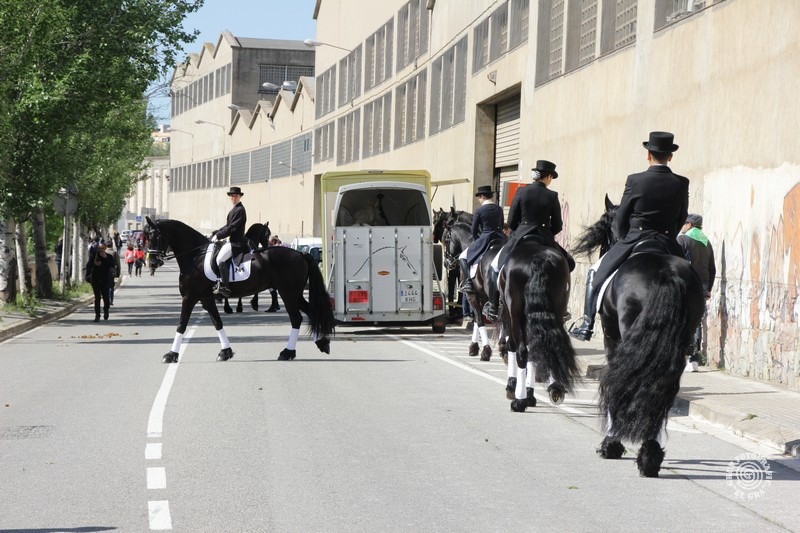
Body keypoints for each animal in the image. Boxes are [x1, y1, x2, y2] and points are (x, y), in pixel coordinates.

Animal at [144, 216, 335, 363]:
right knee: (311, 312)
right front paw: (225, 352)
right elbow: (217, 322)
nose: (151, 263)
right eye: (146, 237)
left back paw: (287, 352)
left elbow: (181, 324)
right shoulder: (206, 298)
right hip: (294, 294)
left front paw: (171, 355)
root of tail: (301, 253)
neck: (194, 256)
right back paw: (322, 342)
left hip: (288, 293)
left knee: (297, 319)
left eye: (156, 236)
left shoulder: (189, 297)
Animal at [498, 239, 578, 412]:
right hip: (557, 308)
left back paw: (519, 401)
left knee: (521, 351)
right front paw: (530, 393)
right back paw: (556, 389)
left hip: (514, 314)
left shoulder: (510, 315)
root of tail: (540, 259)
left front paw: (513, 388)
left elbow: (513, 346)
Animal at [572, 195, 704, 477]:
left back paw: (631, 449)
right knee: (662, 388)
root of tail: (667, 274)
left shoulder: (612, 338)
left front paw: (612, 444)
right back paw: (651, 454)